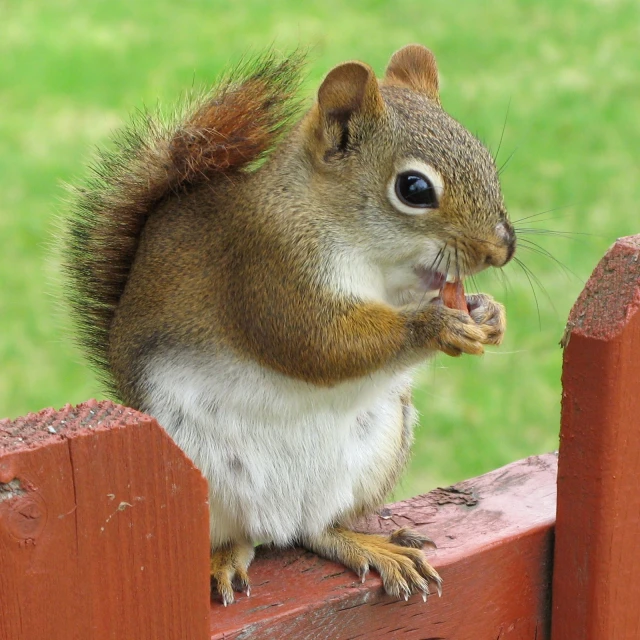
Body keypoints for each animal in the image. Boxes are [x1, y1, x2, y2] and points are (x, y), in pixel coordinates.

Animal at [63, 45, 516, 604]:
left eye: (485, 157)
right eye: (413, 188)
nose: (502, 249)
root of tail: (276, 518)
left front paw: (487, 312)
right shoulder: (267, 265)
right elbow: (319, 344)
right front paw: (435, 325)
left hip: (376, 448)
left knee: (316, 531)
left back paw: (368, 546)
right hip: (191, 474)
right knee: (236, 536)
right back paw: (221, 559)